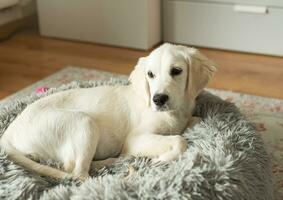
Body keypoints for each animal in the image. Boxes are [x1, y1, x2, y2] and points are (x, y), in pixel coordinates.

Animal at [0, 43, 217, 180]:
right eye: (150, 74)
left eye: (176, 71)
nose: (158, 99)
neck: (175, 112)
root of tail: (8, 133)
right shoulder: (135, 138)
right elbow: (180, 140)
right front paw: (161, 159)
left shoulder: (188, 117)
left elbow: (194, 122)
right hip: (84, 122)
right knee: (77, 174)